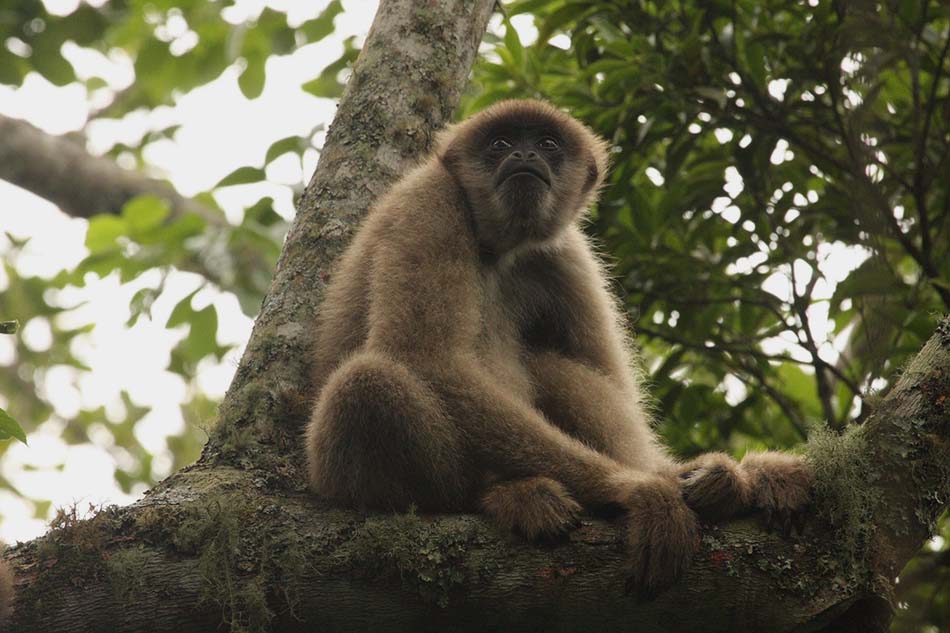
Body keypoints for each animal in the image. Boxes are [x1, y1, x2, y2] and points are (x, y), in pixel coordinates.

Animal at [304, 99, 812, 592]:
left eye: (547, 144)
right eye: (500, 143)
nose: (524, 154)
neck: (500, 247)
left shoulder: (566, 253)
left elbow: (612, 383)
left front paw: (703, 477)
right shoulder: (429, 201)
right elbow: (425, 357)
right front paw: (635, 489)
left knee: (551, 365)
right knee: (367, 382)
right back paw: (502, 495)